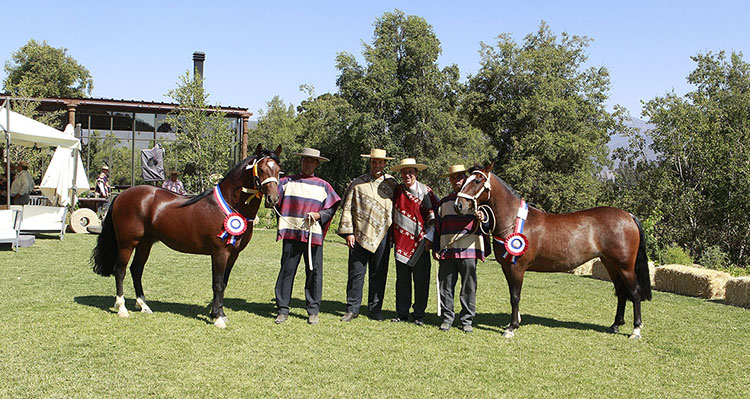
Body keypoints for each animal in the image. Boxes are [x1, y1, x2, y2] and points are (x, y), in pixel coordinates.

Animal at [91, 144, 284, 328]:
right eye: (261, 169)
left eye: (278, 170)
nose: (273, 199)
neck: (229, 206)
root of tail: (121, 195)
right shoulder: (219, 253)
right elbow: (217, 283)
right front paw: (217, 318)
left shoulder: (233, 254)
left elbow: (224, 283)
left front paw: (220, 314)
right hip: (127, 243)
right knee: (120, 270)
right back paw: (122, 308)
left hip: (145, 243)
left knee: (136, 269)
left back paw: (144, 306)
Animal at [456, 164, 656, 340]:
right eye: (465, 180)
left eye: (478, 180)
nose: (459, 205)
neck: (515, 220)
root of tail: (628, 216)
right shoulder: (507, 267)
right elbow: (512, 294)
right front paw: (515, 322)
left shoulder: (517, 268)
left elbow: (515, 296)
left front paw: (511, 328)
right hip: (610, 264)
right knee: (621, 292)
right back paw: (615, 325)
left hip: (625, 267)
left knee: (635, 293)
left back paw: (635, 330)